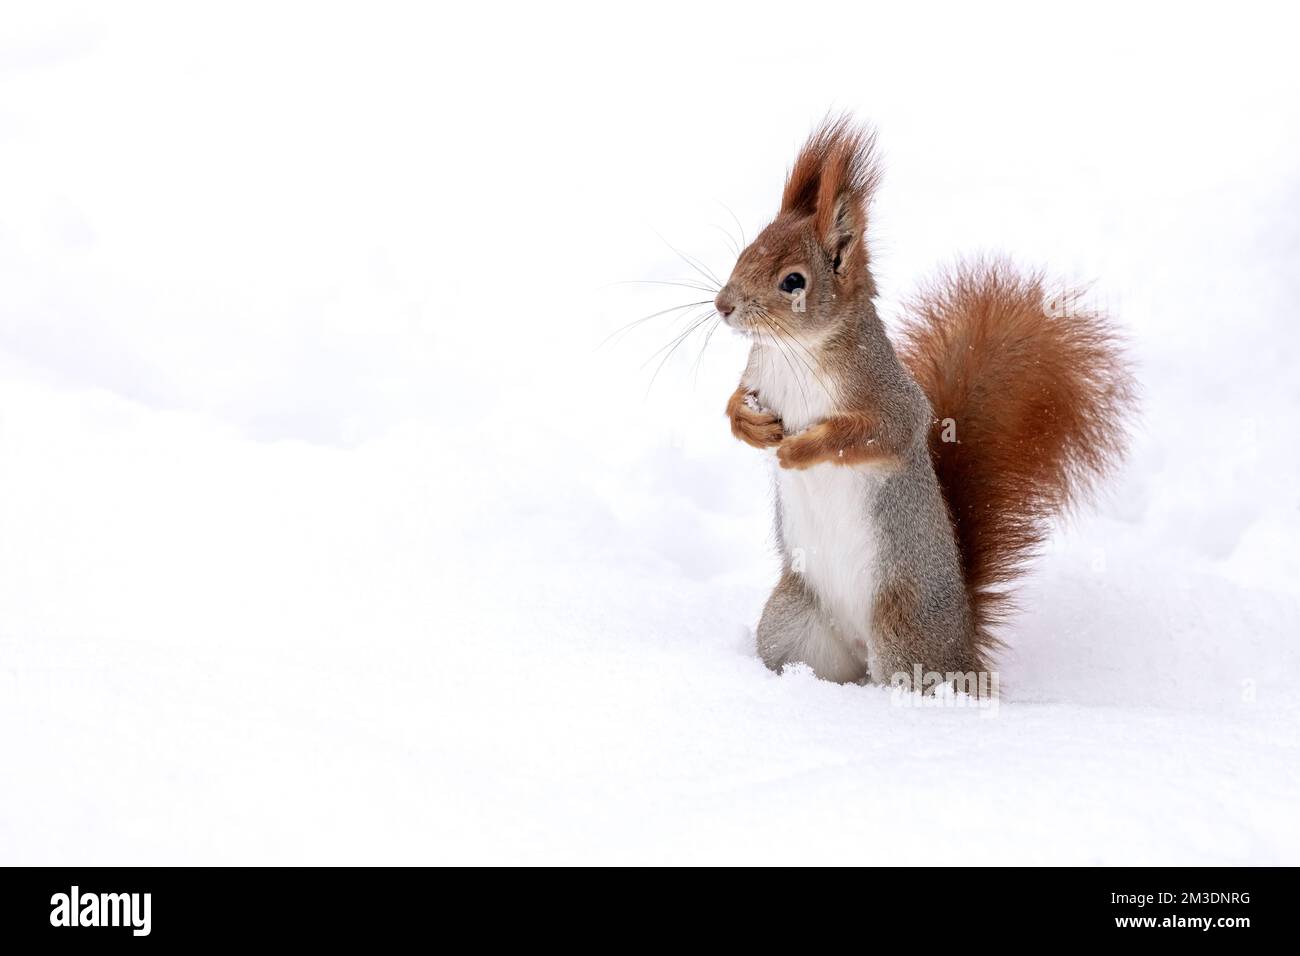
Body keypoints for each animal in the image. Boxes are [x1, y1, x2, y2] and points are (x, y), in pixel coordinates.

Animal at [717, 117, 1135, 690]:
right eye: (744, 253)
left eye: (793, 282)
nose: (722, 306)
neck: (795, 350)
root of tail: (964, 643)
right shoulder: (759, 374)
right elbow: (735, 402)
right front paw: (751, 425)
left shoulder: (889, 398)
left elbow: (880, 432)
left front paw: (799, 450)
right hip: (793, 623)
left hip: (905, 634)